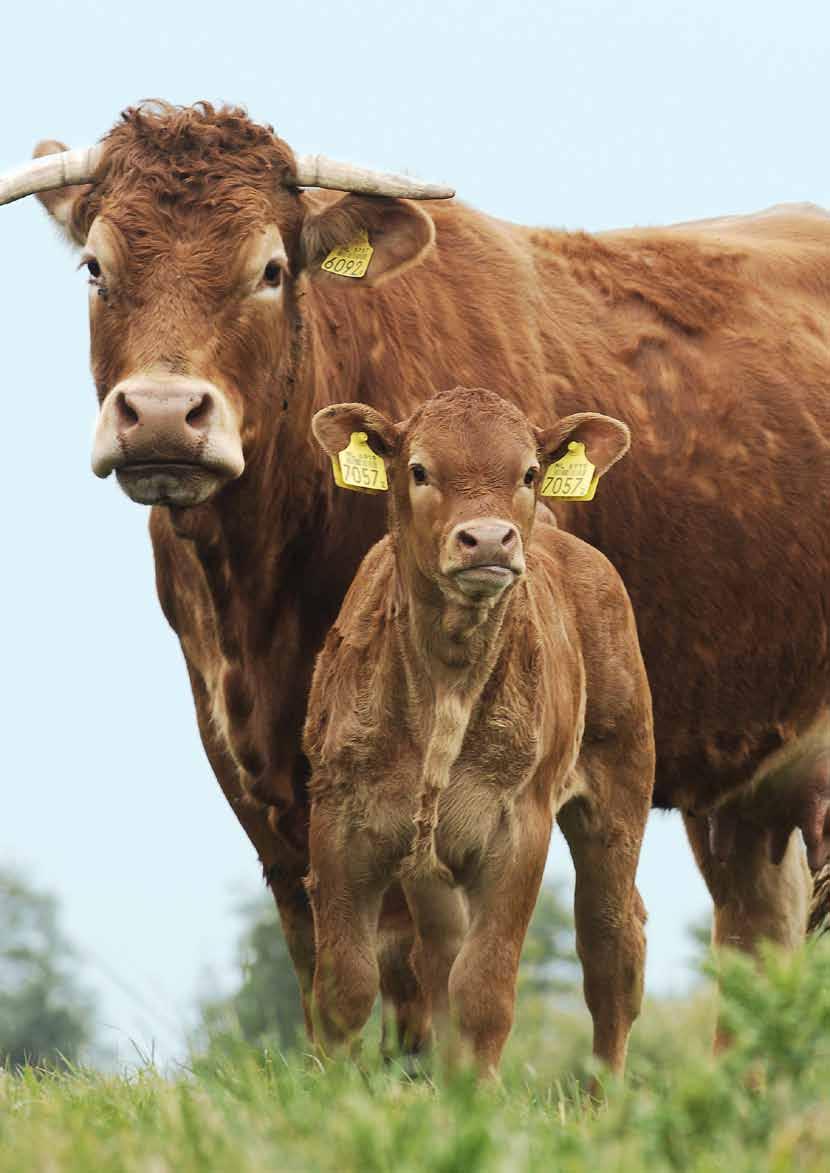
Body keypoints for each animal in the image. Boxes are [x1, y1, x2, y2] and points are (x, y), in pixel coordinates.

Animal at [304, 387, 656, 1074]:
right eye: (419, 469)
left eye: (528, 472)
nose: (489, 539)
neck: (445, 681)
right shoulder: (339, 821)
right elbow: (345, 986)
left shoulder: (519, 827)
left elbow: (485, 989)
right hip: (431, 866)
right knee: (438, 957)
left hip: (621, 793)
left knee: (612, 950)